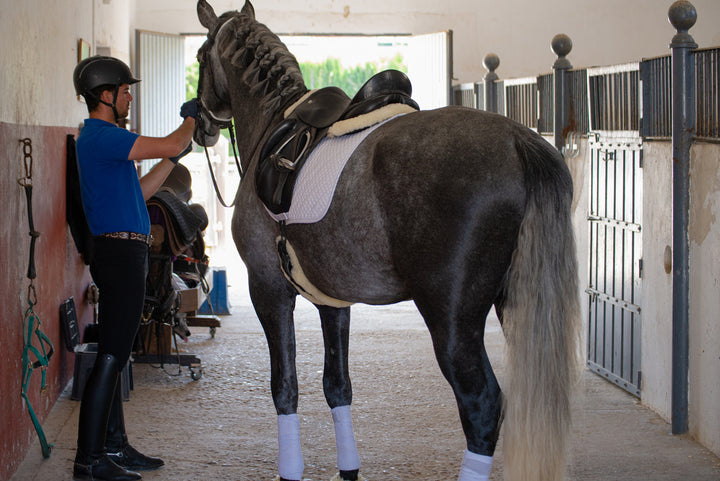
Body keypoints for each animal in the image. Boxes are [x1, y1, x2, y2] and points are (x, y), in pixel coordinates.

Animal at [192, 1, 581, 480]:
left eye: (200, 57)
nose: (200, 124)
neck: (275, 125)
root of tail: (518, 140)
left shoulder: (268, 289)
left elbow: (285, 386)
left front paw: (290, 469)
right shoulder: (332, 300)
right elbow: (337, 385)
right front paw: (348, 469)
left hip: (452, 322)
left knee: (483, 407)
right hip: (518, 305)